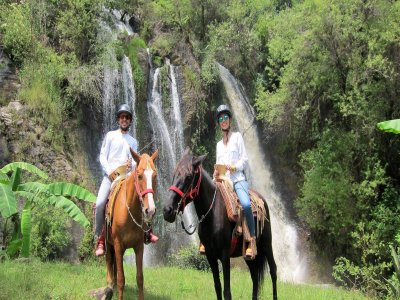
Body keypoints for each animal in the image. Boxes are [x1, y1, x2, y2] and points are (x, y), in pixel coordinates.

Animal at [104, 149, 158, 298]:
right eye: (139, 176)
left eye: (155, 176)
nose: (150, 210)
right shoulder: (117, 244)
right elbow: (121, 279)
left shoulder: (139, 245)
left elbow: (140, 278)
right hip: (109, 244)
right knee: (109, 263)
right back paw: (109, 287)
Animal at [163, 150, 278, 300]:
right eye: (174, 174)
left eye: (188, 177)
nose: (167, 210)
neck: (212, 213)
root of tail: (262, 200)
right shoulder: (210, 255)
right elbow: (217, 287)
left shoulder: (224, 255)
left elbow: (227, 291)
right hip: (248, 252)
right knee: (254, 276)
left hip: (266, 244)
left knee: (273, 271)